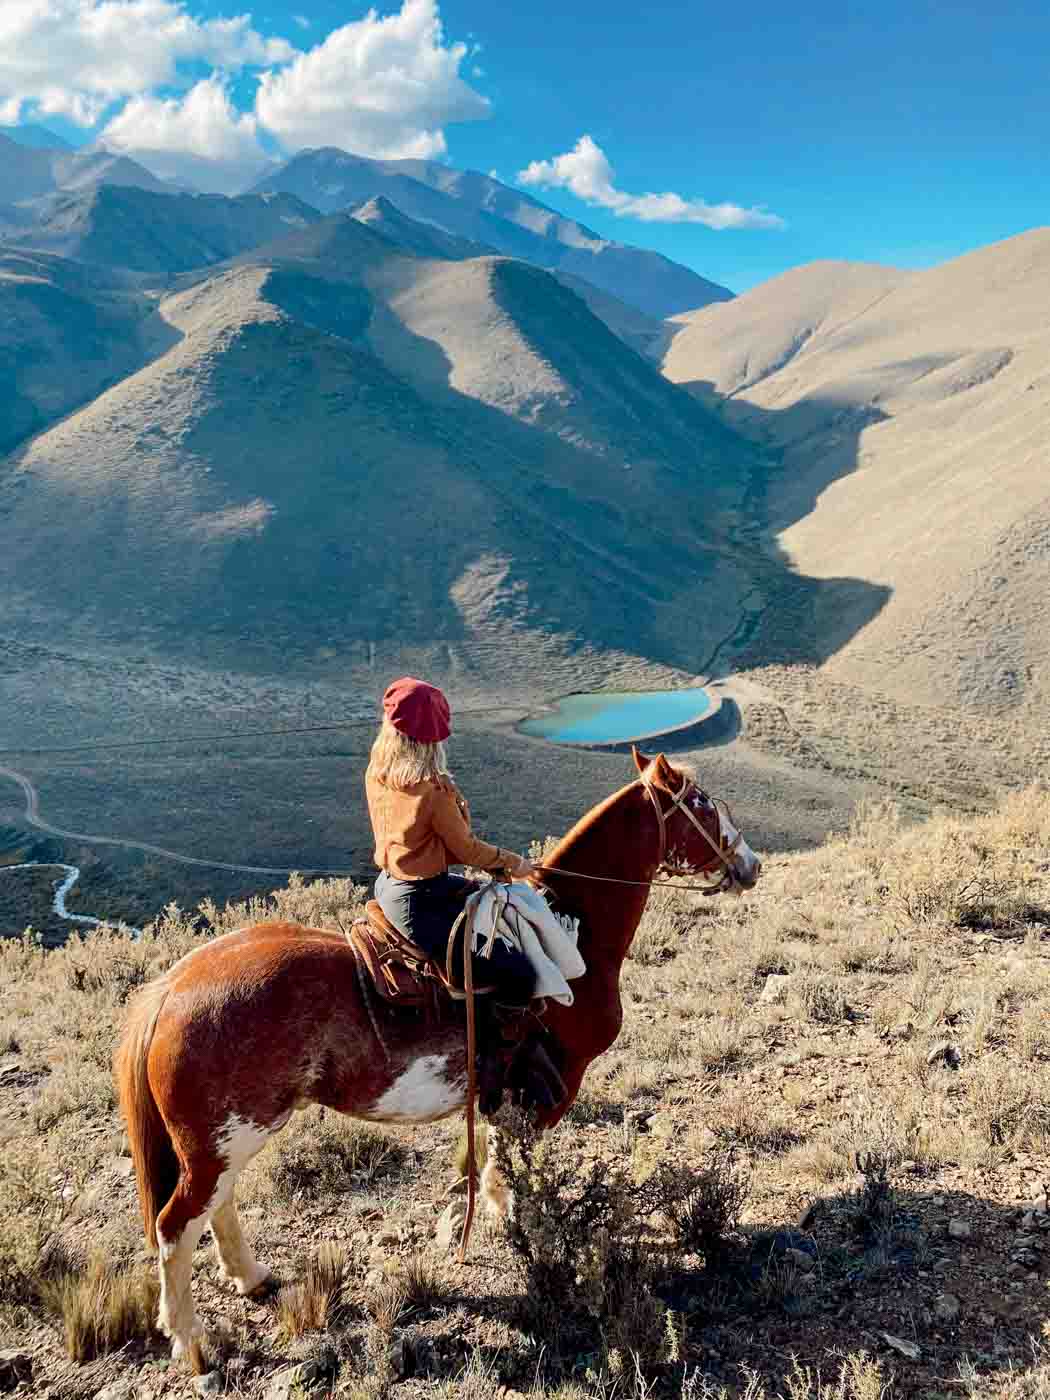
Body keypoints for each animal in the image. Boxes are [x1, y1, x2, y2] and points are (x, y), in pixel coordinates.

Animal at [114, 750, 761, 1360]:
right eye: (702, 806)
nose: (750, 865)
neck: (573, 930)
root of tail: (170, 989)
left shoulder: (504, 1095)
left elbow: (491, 1160)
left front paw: (483, 1216)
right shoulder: (554, 1085)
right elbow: (514, 1168)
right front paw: (525, 1231)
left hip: (225, 1141)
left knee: (216, 1206)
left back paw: (251, 1277)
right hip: (224, 1138)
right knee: (177, 1225)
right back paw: (189, 1339)